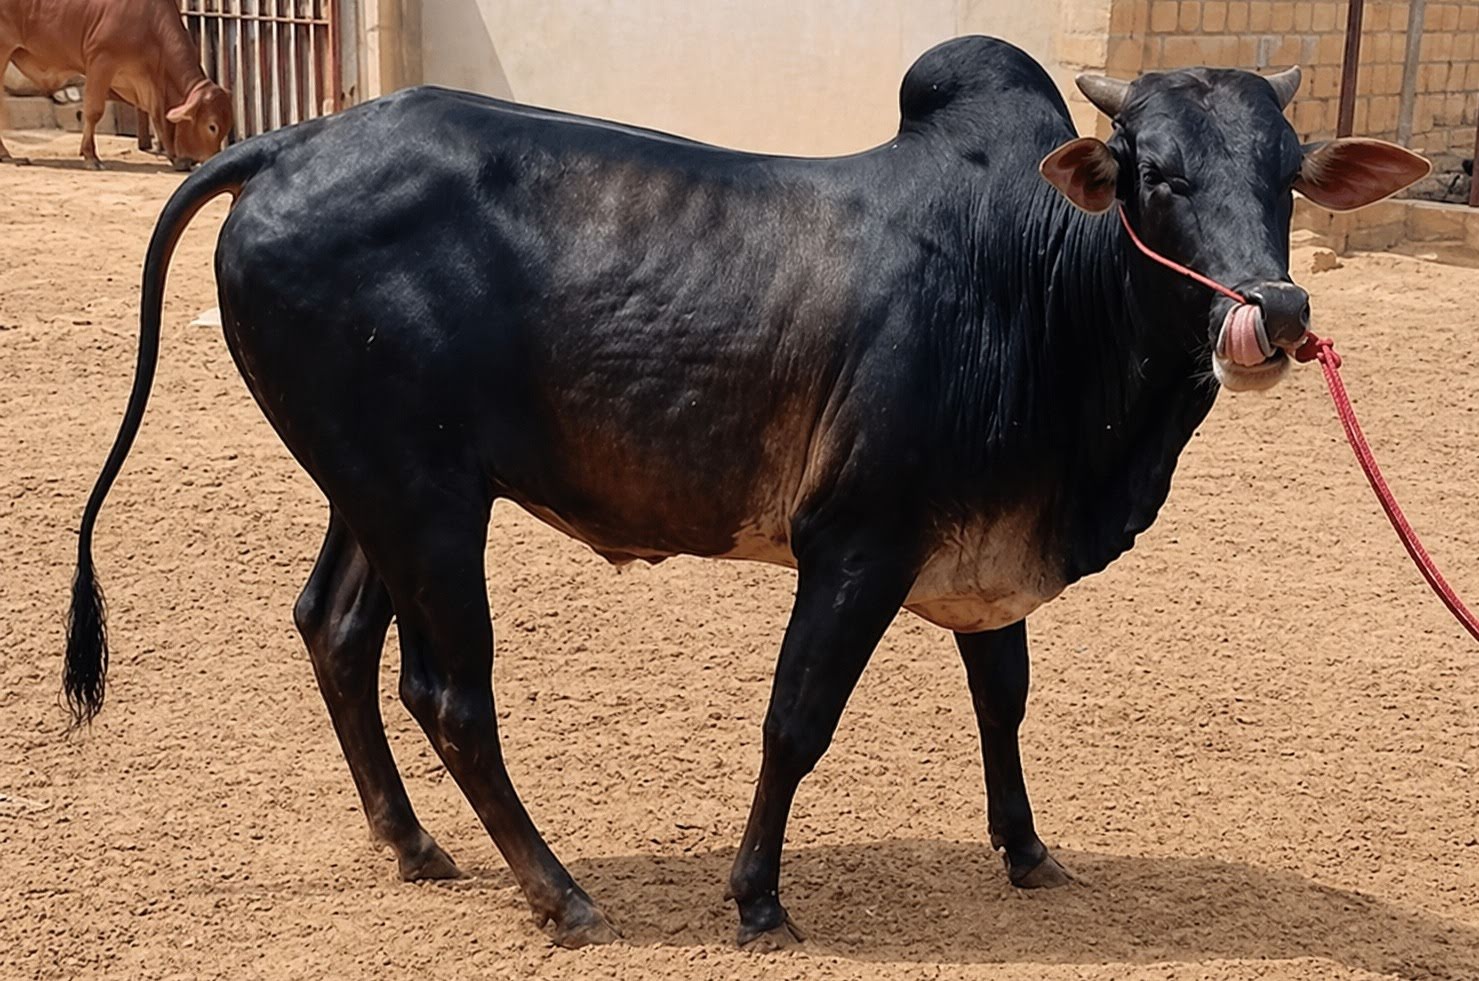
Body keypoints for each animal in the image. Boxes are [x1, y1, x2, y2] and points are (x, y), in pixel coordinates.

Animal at [0, 0, 231, 169]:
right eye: (212, 126)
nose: (213, 161)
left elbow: (157, 118)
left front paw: (174, 157)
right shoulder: (101, 60)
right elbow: (93, 111)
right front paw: (91, 156)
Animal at [63, 37, 1428, 949]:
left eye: (1286, 171)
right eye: (1155, 173)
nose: (1277, 312)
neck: (1037, 283)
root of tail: (294, 140)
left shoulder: (981, 541)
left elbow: (1004, 700)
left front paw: (1029, 851)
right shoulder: (859, 545)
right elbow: (796, 721)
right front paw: (758, 897)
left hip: (379, 489)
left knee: (335, 633)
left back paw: (413, 845)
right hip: (425, 500)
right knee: (447, 693)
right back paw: (561, 896)